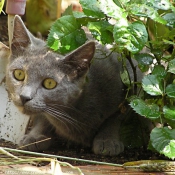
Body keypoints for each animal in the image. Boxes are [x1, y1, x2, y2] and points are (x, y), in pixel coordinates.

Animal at [0, 15, 141, 156]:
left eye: (49, 83)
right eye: (19, 74)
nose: (24, 97)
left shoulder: (132, 85)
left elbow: (117, 116)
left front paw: (107, 141)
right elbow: (42, 117)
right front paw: (35, 137)